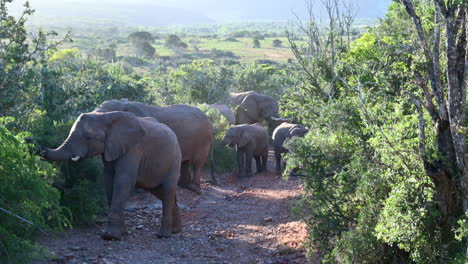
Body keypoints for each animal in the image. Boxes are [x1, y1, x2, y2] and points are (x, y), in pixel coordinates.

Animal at [42, 110, 181, 240]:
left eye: (88, 137)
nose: (42, 149)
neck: (106, 117)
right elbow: (109, 182)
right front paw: (122, 233)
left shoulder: (133, 149)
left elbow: (123, 181)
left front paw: (110, 236)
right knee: (161, 192)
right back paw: (175, 230)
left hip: (175, 160)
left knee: (167, 190)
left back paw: (164, 235)